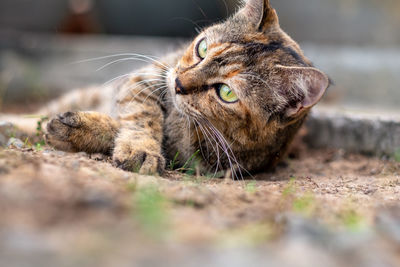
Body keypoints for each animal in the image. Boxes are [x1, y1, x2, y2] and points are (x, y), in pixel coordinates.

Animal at [18, 1, 330, 179]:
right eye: (202, 48)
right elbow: (142, 116)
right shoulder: (148, 77)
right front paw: (140, 148)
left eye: (226, 93)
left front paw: (83, 129)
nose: (179, 84)